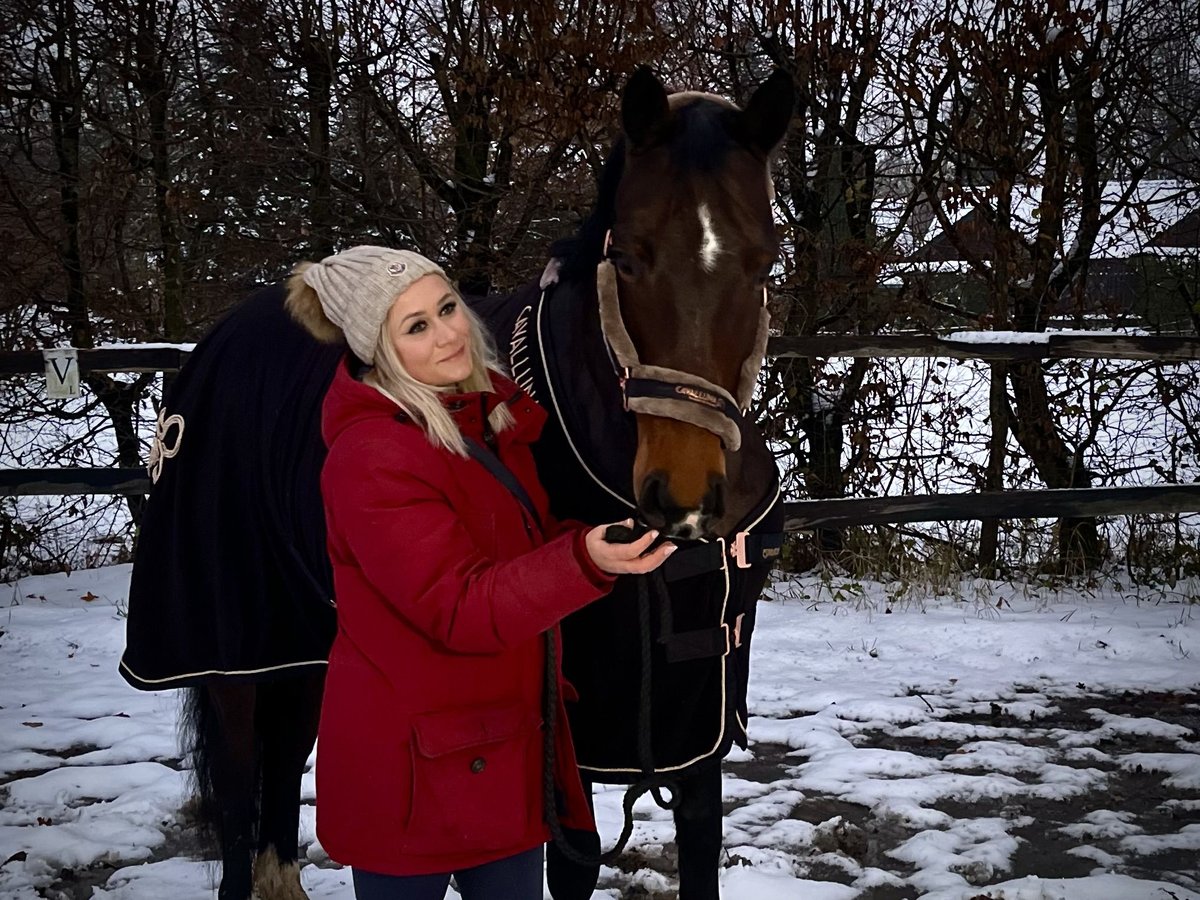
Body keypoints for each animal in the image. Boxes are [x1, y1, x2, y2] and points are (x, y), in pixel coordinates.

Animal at [119, 66, 796, 897]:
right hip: (226, 647)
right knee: (242, 784)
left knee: (284, 758)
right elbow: (574, 862)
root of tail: (217, 341)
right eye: (632, 258)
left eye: (762, 262)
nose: (684, 497)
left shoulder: (694, 725)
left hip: (304, 638)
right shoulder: (569, 736)